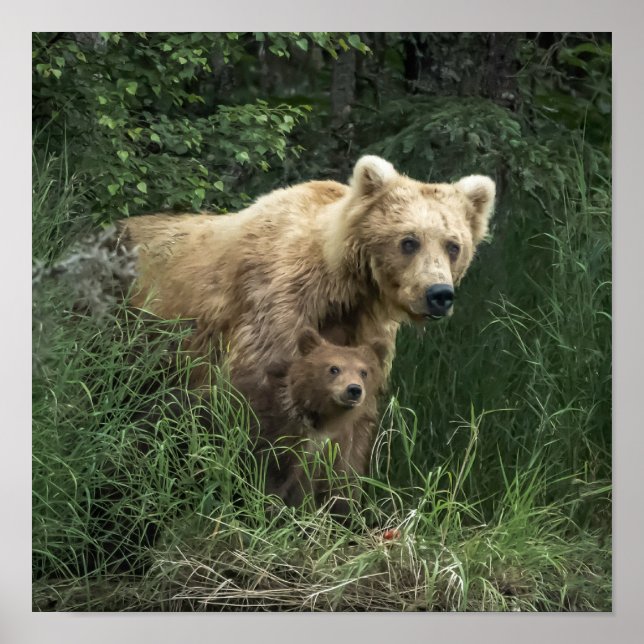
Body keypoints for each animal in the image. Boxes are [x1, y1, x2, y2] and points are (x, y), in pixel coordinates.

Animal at [117, 155, 495, 388]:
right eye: (409, 241)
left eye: (453, 245)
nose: (439, 294)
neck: (343, 287)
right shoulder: (277, 310)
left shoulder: (362, 328)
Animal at [234, 327, 388, 514]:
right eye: (334, 368)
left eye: (364, 372)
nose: (354, 389)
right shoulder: (275, 436)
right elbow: (269, 479)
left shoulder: (321, 454)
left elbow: (306, 490)